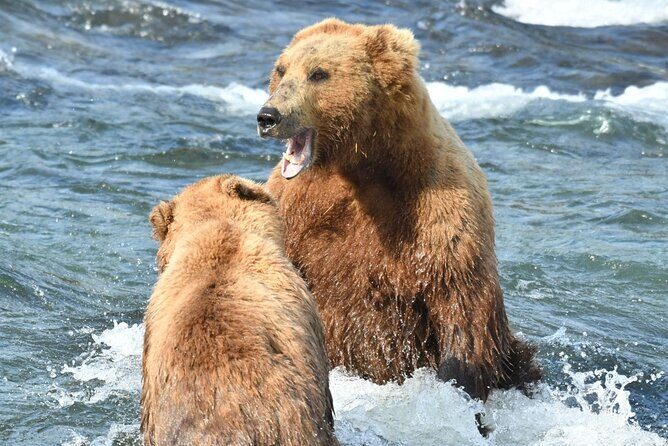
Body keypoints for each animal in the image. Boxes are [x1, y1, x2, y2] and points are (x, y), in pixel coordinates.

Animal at [257, 18, 541, 405]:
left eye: (319, 73)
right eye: (281, 69)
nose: (268, 116)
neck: (365, 166)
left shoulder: (439, 213)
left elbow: (459, 305)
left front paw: (458, 385)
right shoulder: (299, 207)